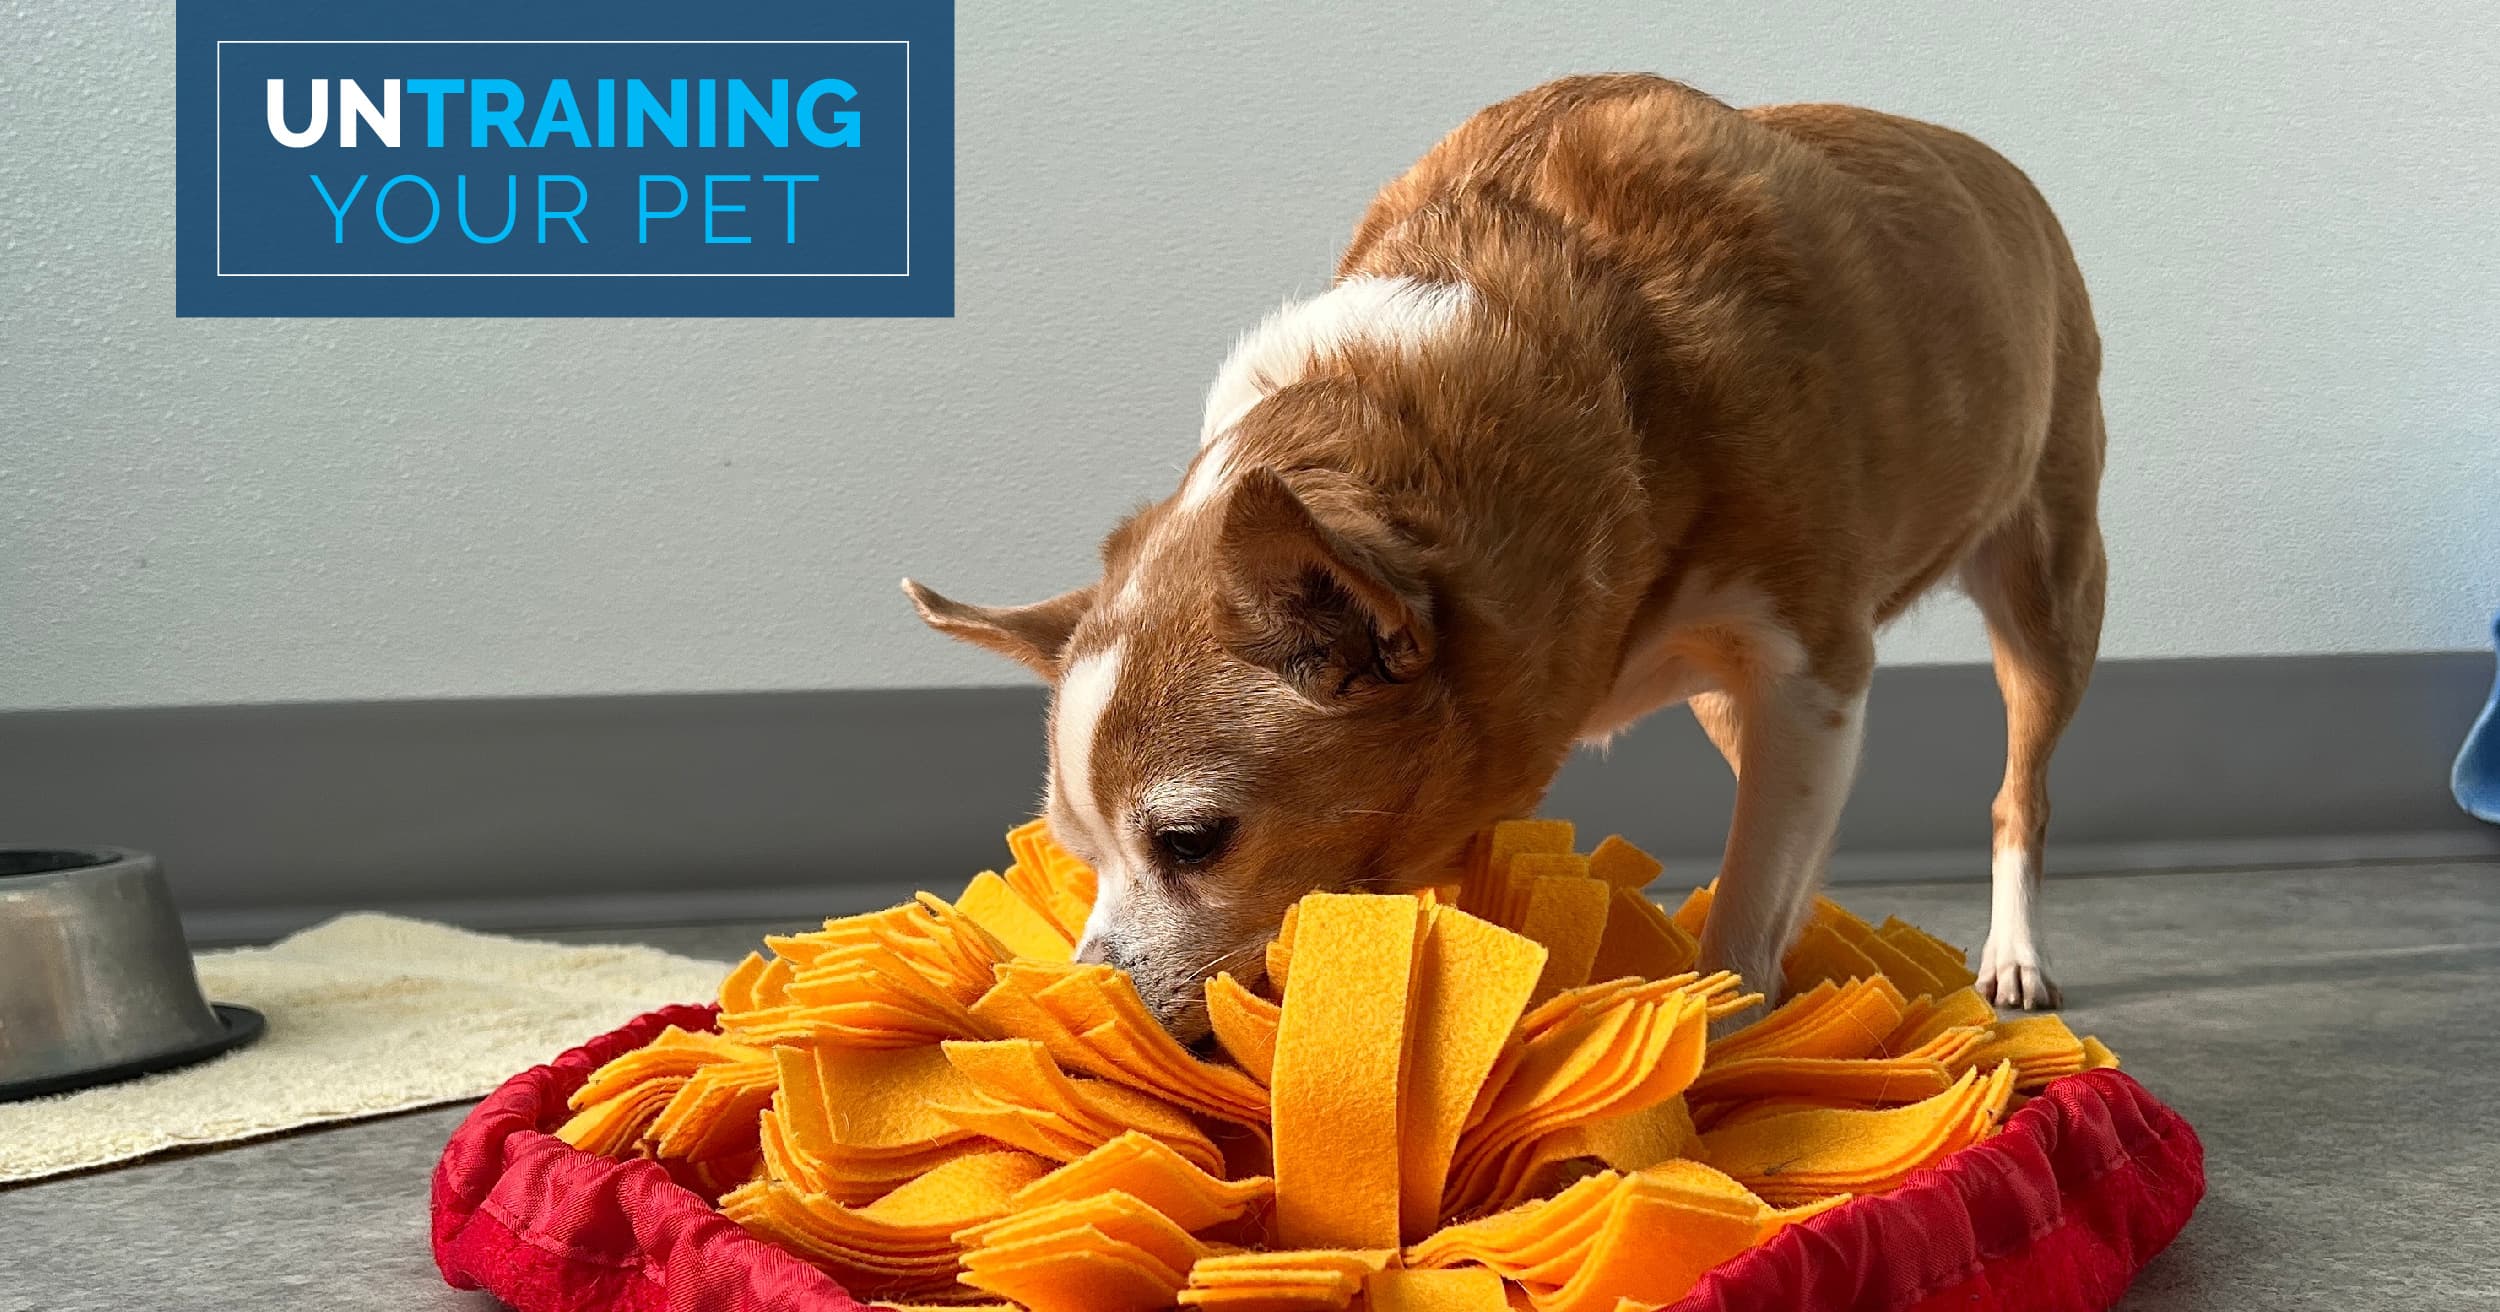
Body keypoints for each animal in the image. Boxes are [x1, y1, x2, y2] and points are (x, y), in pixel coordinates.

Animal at [910, 76, 2100, 1039]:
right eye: (1077, 856)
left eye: (1193, 841)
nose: (1090, 998)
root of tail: (1991, 163)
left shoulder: (1808, 674)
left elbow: (1742, 919)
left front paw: (1720, 1065)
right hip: (1736, 706)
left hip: (2047, 601)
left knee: (2017, 794)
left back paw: (2013, 954)